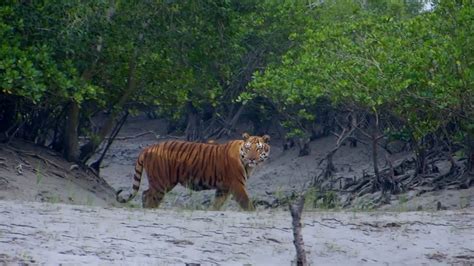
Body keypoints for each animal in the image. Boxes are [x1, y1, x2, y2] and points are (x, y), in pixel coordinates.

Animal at [115, 132, 270, 210]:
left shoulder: (223, 189)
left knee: (145, 193)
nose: (252, 159)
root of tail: (148, 148)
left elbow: (216, 204)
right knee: (149, 196)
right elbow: (247, 203)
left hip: (165, 182)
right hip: (161, 182)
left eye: (258, 149)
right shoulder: (237, 185)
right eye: (249, 148)